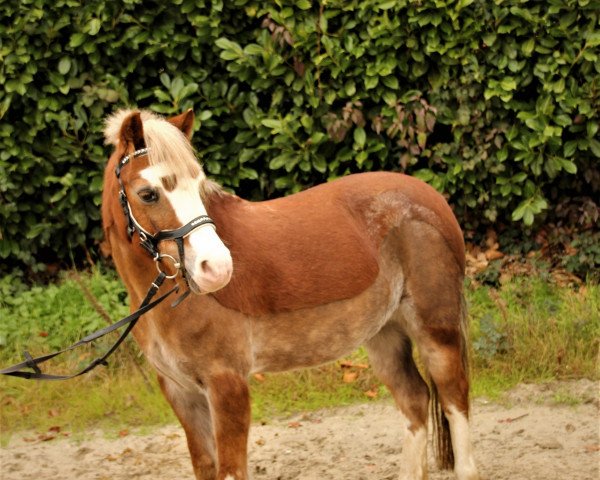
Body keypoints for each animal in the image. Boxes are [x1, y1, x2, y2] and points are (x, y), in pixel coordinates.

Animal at [102, 109, 478, 480]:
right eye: (148, 193)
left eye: (198, 187)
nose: (217, 268)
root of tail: (432, 198)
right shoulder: (182, 393)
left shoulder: (227, 385)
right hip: (385, 335)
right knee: (415, 400)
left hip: (436, 333)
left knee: (454, 400)